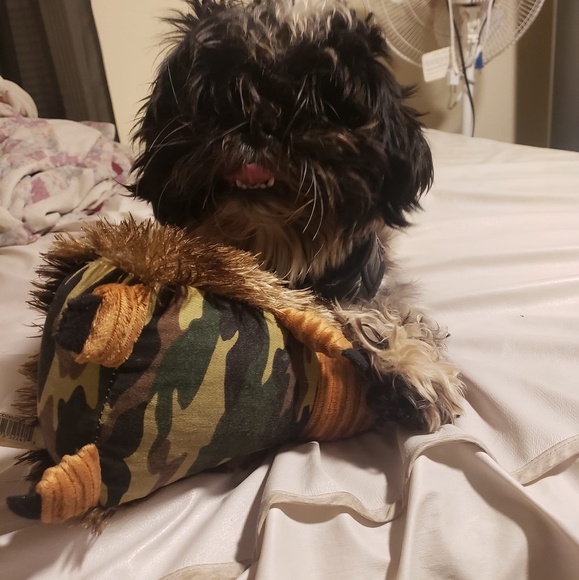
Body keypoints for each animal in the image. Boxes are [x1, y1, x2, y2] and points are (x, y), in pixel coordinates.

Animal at [129, 0, 463, 431]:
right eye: (220, 98)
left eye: (317, 106)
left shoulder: (367, 279)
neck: (275, 245)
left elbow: (385, 310)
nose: (258, 122)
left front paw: (410, 363)